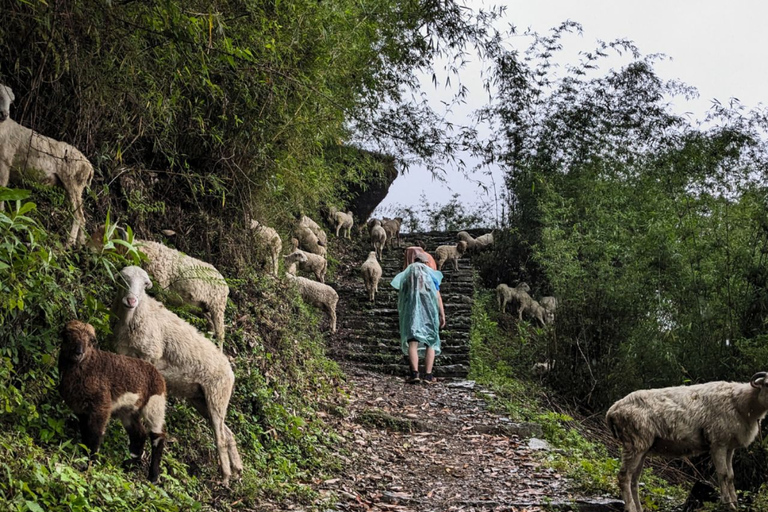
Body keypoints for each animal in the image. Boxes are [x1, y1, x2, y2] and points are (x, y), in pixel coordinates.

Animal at [0, 83, 94, 246]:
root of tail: (89, 167)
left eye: (11, 101)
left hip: (74, 183)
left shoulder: (5, 163)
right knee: (81, 217)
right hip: (74, 187)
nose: (4, 114)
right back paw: (80, 244)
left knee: (79, 217)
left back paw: (68, 244)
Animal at [59, 318, 168, 482]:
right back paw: (128, 465)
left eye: (91, 340)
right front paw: (84, 458)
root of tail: (158, 374)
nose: (78, 352)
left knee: (157, 436)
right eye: (67, 336)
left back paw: (153, 477)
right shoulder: (80, 408)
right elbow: (84, 432)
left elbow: (95, 433)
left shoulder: (101, 405)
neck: (89, 364)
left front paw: (91, 464)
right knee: (139, 434)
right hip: (129, 410)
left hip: (156, 404)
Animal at [90, 225, 228, 348]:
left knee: (220, 334)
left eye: (107, 238)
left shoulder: (162, 290)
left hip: (217, 307)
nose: (88, 247)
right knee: (211, 327)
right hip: (202, 308)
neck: (143, 252)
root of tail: (224, 282)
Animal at [111, 266, 242, 486]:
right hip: (201, 400)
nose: (131, 300)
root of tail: (230, 370)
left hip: (217, 396)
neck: (138, 313)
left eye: (145, 284)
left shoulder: (150, 355)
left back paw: (224, 477)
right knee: (228, 432)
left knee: (221, 438)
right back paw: (237, 470)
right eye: (123, 278)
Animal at [608, 372, 768, 512]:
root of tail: (612, 410)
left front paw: (734, 502)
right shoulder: (718, 444)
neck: (741, 403)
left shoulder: (729, 447)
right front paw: (728, 505)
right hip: (634, 444)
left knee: (634, 480)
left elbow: (730, 476)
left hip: (642, 448)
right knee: (624, 477)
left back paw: (639, 508)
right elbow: (722, 474)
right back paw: (630, 508)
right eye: (766, 384)